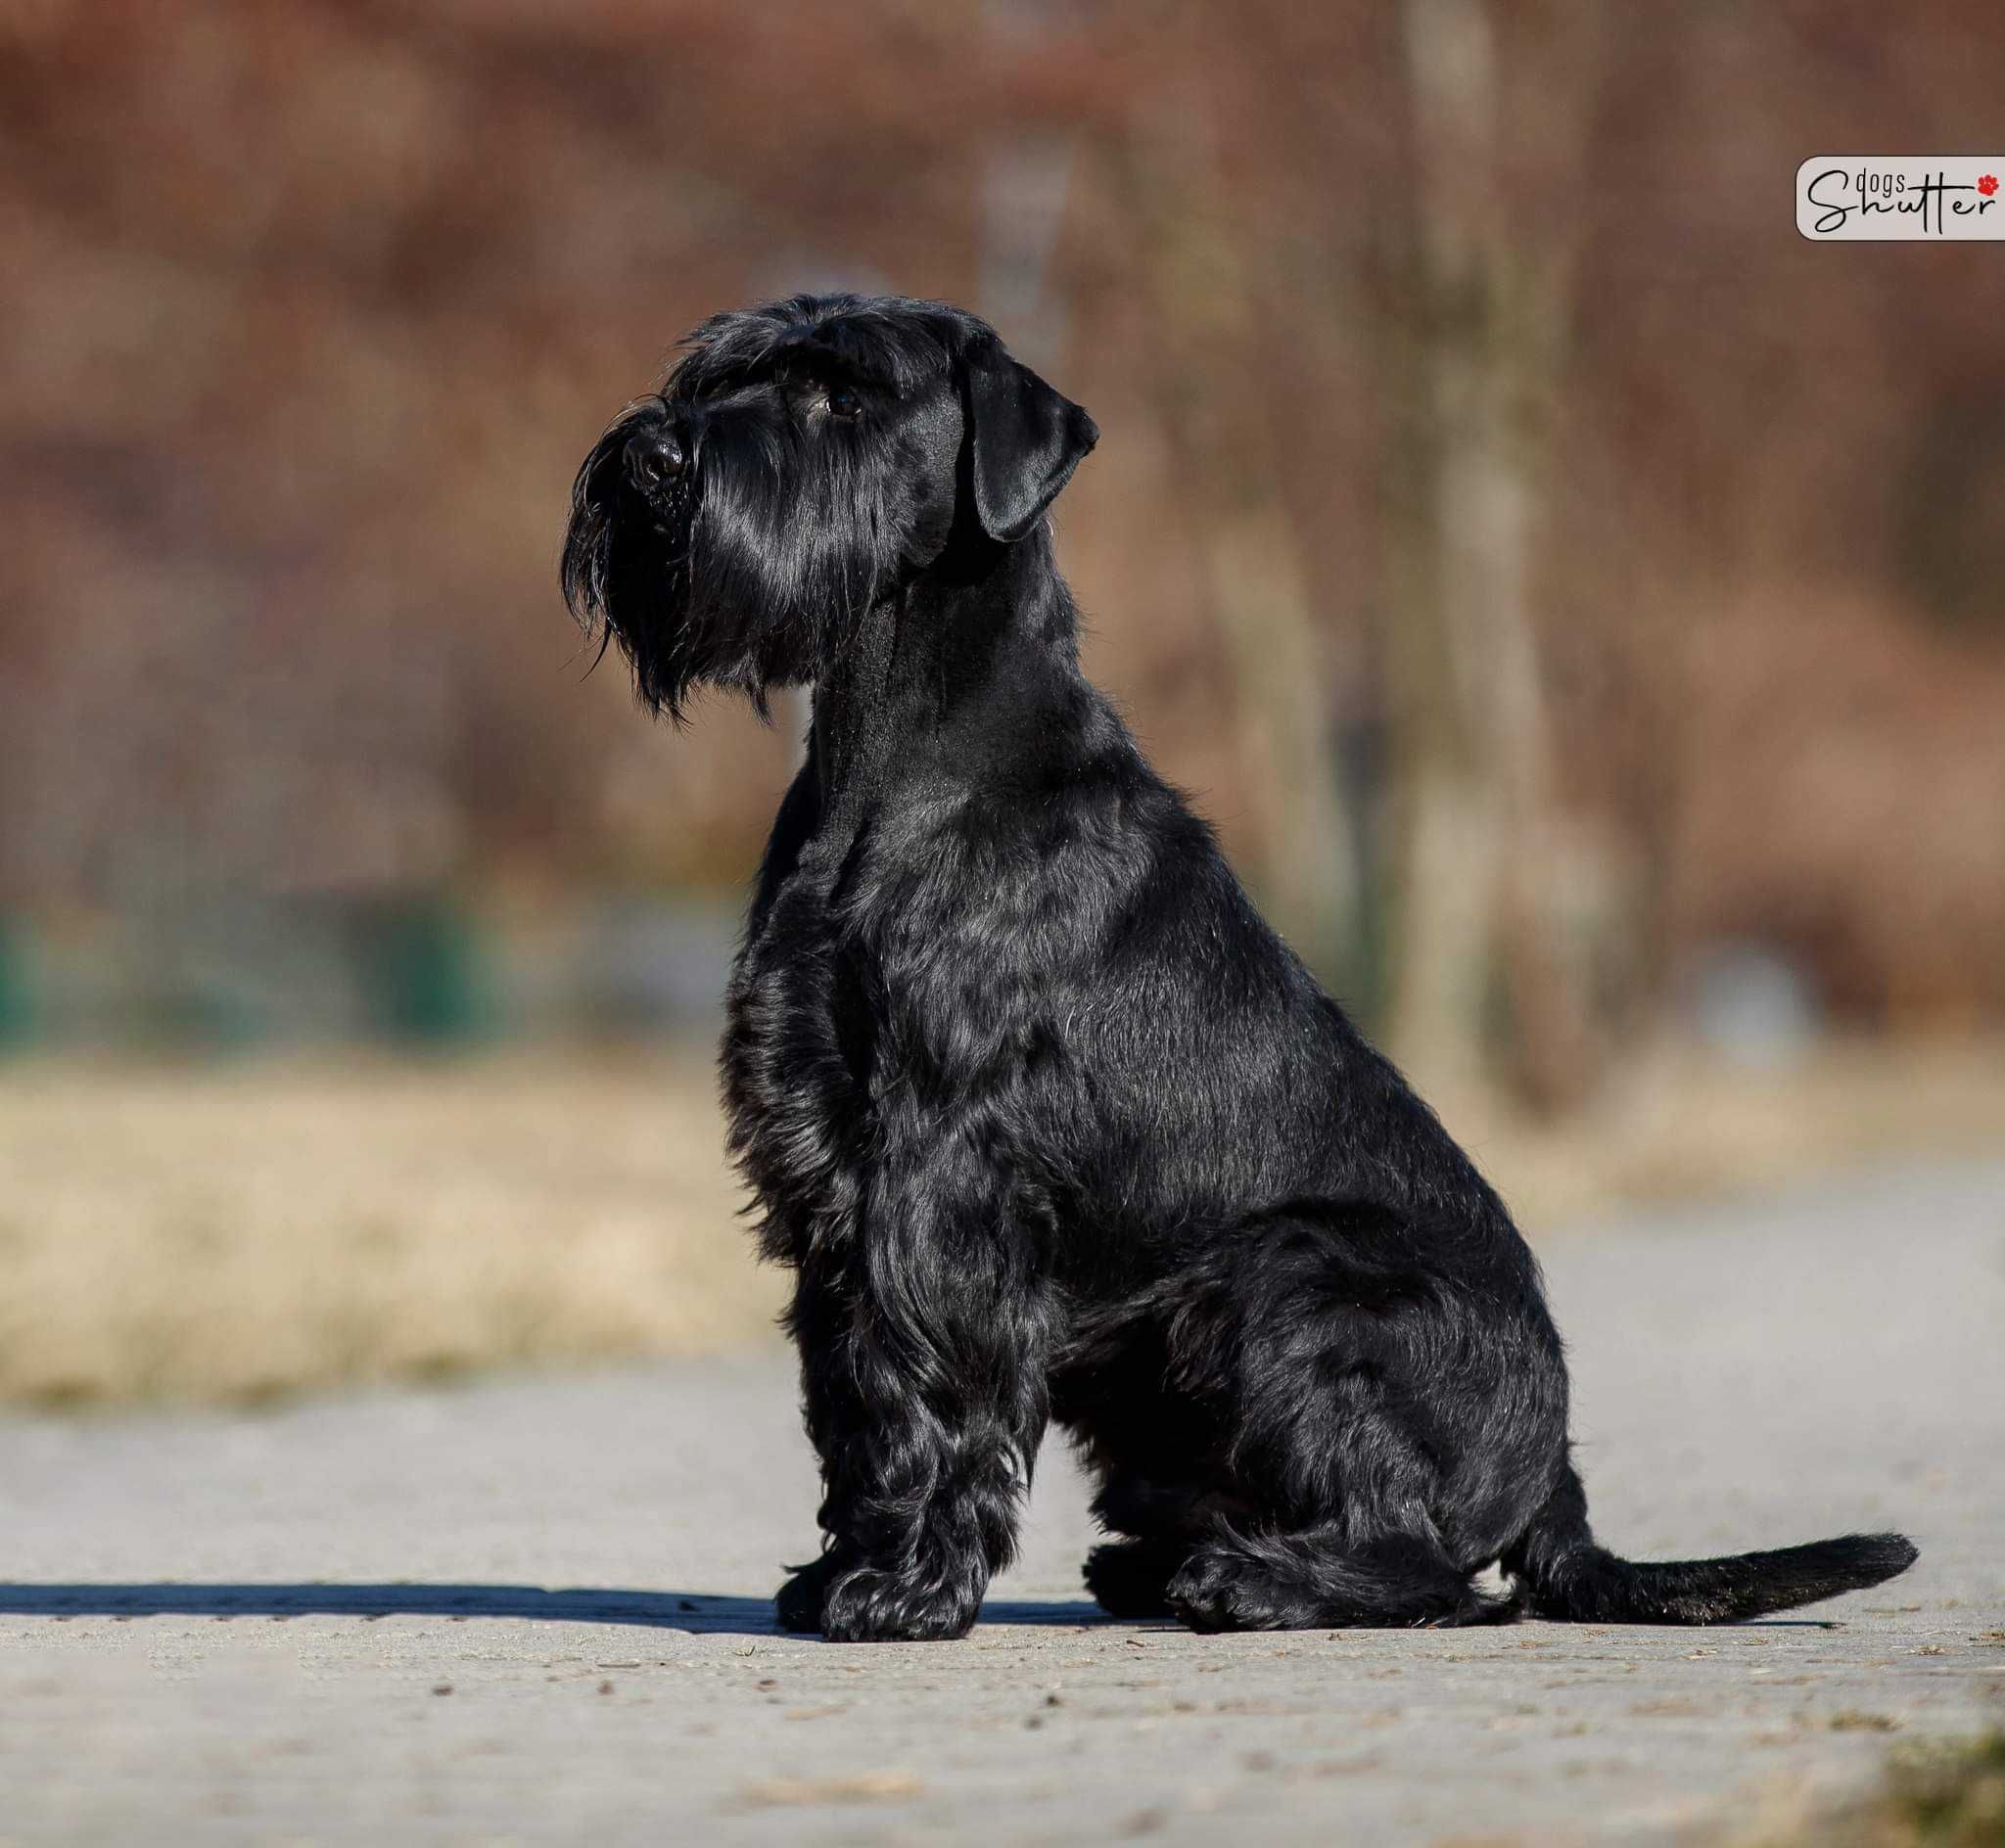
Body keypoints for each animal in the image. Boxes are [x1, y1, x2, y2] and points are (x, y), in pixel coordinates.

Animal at [561, 292, 1908, 1643]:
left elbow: (923, 1376)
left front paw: (902, 1587)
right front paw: (842, 1567)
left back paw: (1242, 1580)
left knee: (1429, 1567)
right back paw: (1168, 1562)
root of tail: (1553, 1476)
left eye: (842, 395)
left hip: (1289, 1279)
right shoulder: (821, 1144)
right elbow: (848, 1382)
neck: (891, 753)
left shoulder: (940, 1162)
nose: (653, 456)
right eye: (714, 373)